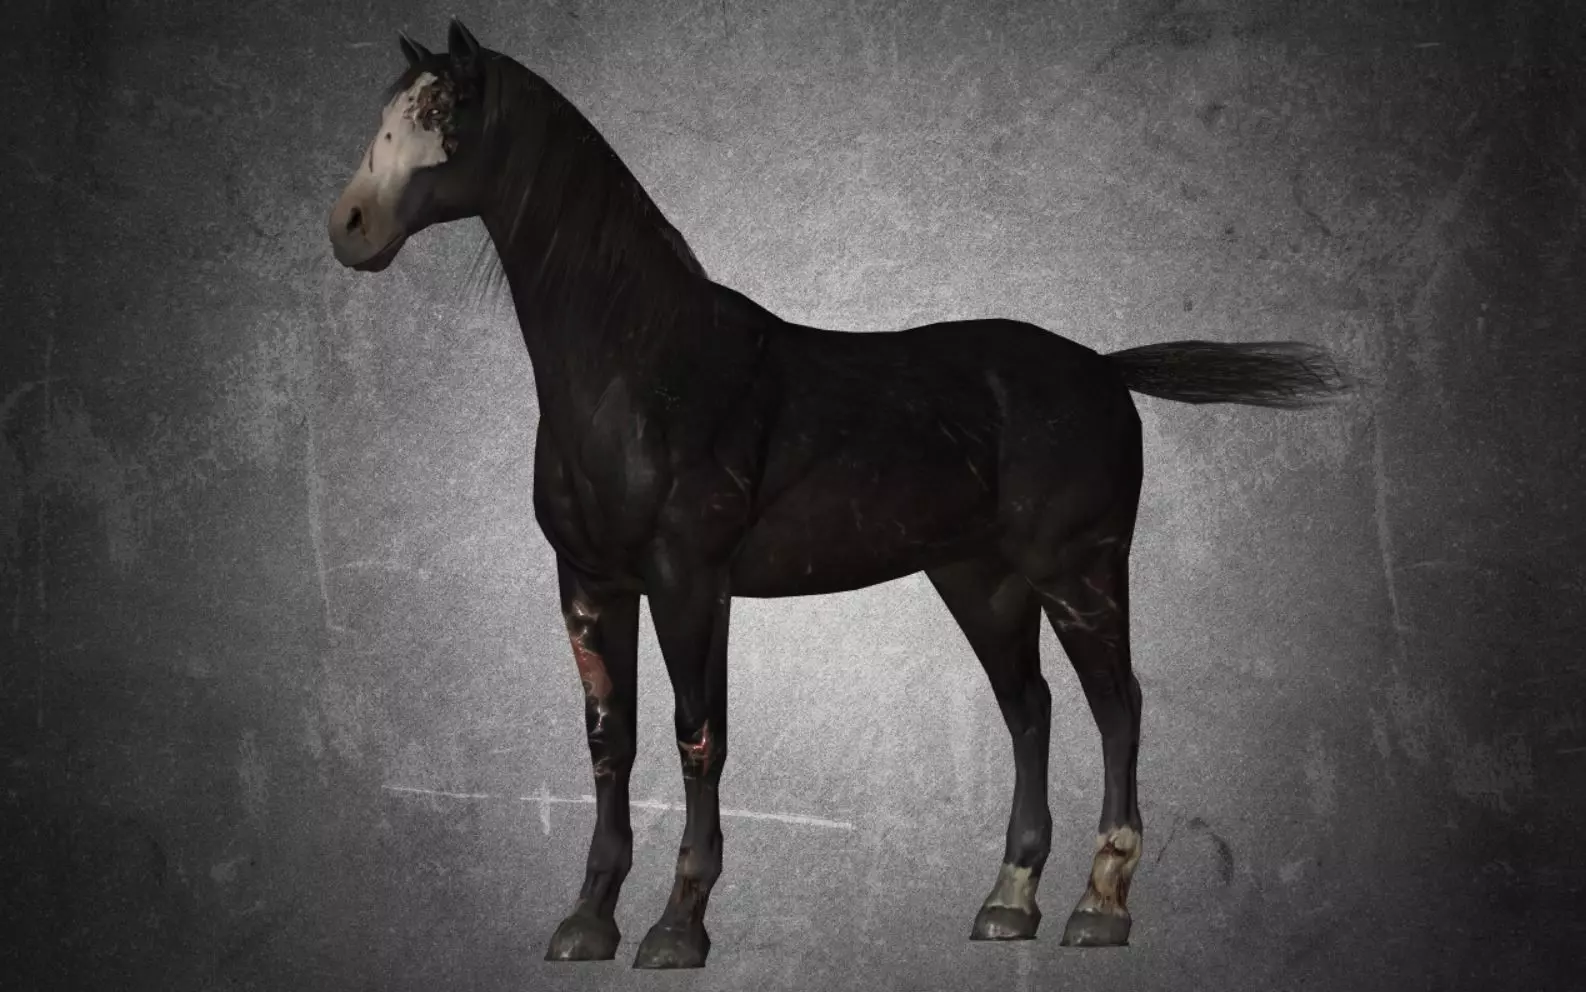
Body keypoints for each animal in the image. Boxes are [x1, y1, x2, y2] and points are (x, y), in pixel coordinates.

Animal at [327, 19, 1352, 970]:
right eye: (388, 110)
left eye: (446, 110)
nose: (349, 226)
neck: (641, 366)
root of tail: (1104, 368)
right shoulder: (588, 581)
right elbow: (609, 741)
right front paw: (585, 922)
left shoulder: (690, 580)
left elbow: (699, 734)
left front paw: (678, 928)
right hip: (981, 583)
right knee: (1031, 709)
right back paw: (1007, 902)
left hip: (1081, 574)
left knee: (1118, 707)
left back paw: (1100, 908)